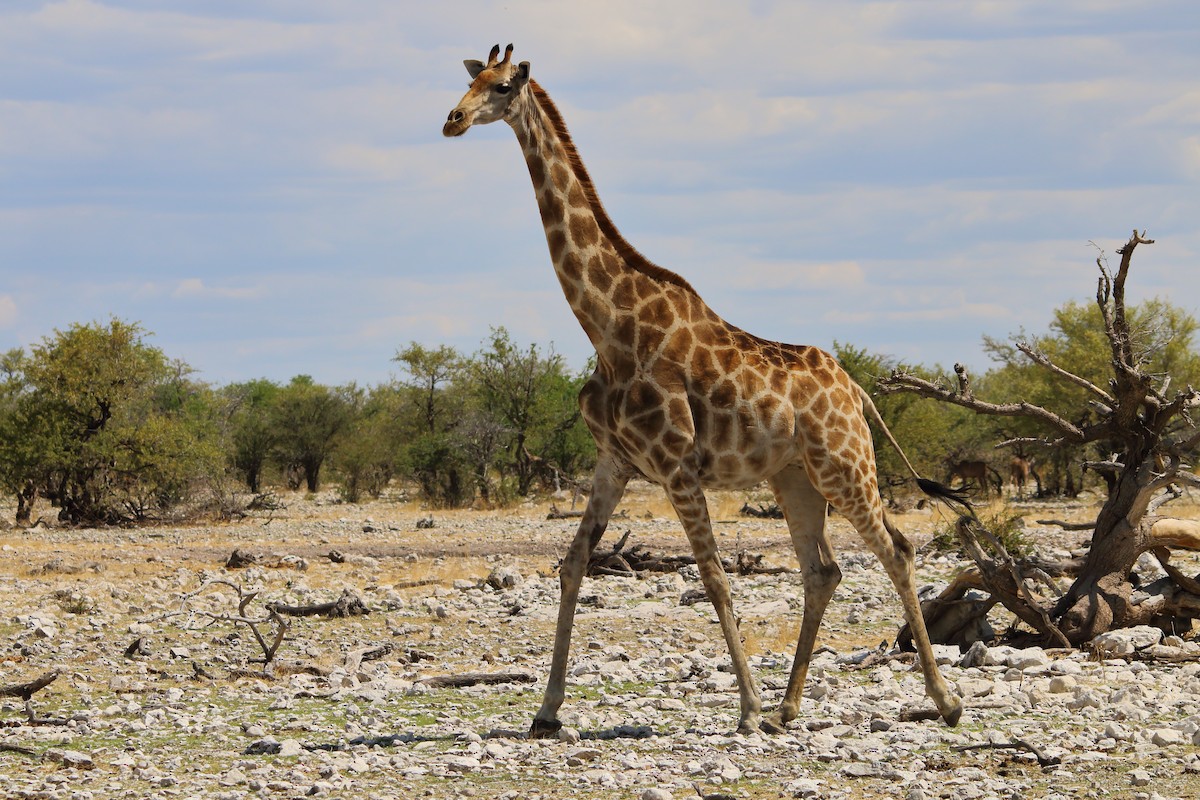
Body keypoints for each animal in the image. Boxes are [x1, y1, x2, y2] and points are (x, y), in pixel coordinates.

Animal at [443, 44, 968, 736]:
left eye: (501, 86)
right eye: (467, 80)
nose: (451, 120)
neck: (610, 328)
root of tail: (858, 391)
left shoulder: (676, 465)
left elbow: (715, 577)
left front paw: (745, 708)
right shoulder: (614, 461)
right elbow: (573, 563)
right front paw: (547, 710)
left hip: (846, 467)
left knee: (898, 551)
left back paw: (943, 700)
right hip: (795, 478)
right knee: (822, 570)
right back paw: (789, 708)